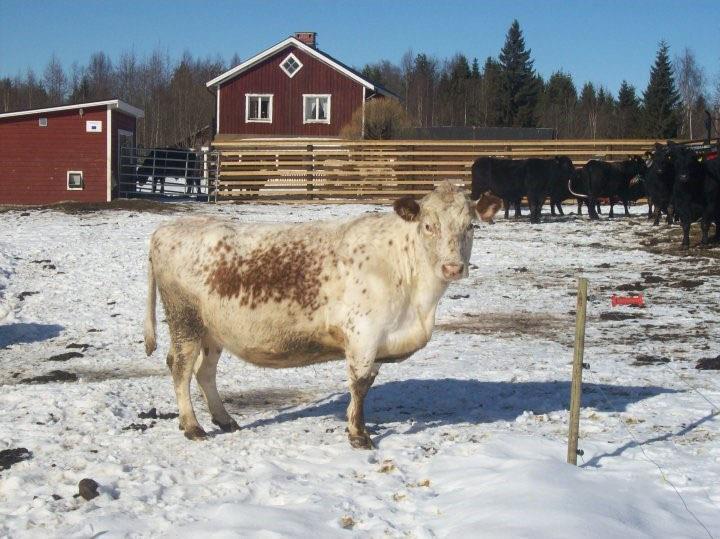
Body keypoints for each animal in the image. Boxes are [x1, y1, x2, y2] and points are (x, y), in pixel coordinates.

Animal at [143, 184, 498, 450]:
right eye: (428, 226)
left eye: (470, 226)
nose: (452, 268)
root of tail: (167, 228)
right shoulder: (363, 336)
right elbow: (360, 385)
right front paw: (358, 435)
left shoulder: (378, 342)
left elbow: (366, 384)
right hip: (185, 321)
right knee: (180, 369)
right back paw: (192, 426)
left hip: (212, 330)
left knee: (205, 372)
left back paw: (225, 419)